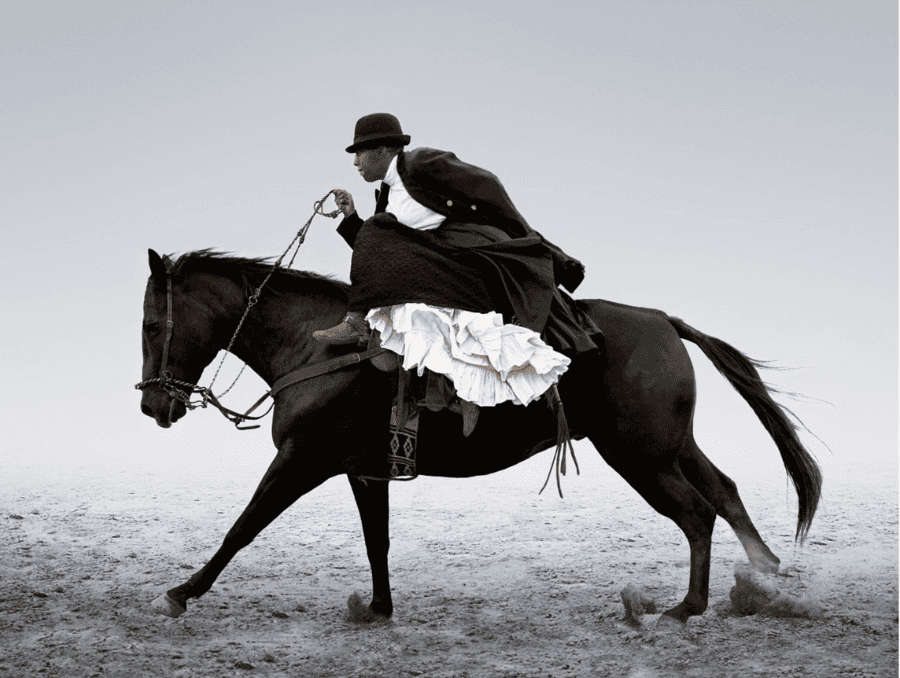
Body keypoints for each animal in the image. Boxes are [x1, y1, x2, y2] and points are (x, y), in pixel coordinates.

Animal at [138, 248, 822, 628]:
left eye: (150, 323)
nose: (152, 404)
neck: (321, 346)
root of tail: (663, 322)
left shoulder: (301, 460)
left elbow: (242, 527)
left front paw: (180, 594)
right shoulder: (365, 470)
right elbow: (378, 542)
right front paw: (378, 610)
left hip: (641, 457)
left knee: (697, 513)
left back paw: (686, 608)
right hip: (668, 446)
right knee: (724, 492)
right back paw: (761, 579)